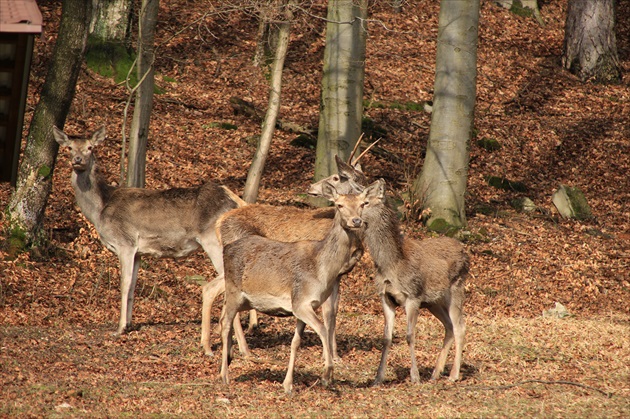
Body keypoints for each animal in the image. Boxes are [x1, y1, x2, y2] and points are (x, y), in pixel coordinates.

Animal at [53, 126, 246, 336]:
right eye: (69, 147)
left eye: (90, 147)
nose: (77, 159)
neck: (100, 209)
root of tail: (237, 201)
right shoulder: (138, 252)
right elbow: (133, 286)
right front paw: (129, 324)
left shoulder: (126, 243)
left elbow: (124, 284)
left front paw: (119, 328)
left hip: (214, 241)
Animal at [202, 154, 370, 358]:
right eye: (337, 176)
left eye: (362, 203)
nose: (311, 187)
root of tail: (219, 222)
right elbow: (328, 312)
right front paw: (331, 356)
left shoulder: (338, 276)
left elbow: (334, 311)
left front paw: (334, 355)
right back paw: (241, 349)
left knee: (211, 289)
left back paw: (212, 347)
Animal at [218, 180, 386, 394]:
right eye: (339, 205)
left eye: (363, 204)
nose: (356, 221)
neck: (321, 270)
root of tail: (227, 248)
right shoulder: (301, 302)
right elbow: (323, 327)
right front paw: (327, 374)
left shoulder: (305, 305)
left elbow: (296, 342)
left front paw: (288, 384)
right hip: (232, 289)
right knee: (225, 323)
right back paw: (224, 375)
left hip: (244, 300)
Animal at [358, 180, 472, 384]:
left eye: (365, 203)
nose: (353, 220)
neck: (392, 264)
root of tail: (466, 253)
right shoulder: (386, 297)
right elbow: (387, 338)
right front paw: (378, 378)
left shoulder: (413, 295)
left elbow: (410, 336)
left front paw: (415, 377)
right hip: (434, 302)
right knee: (449, 326)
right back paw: (435, 373)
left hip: (457, 288)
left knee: (460, 326)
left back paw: (453, 375)